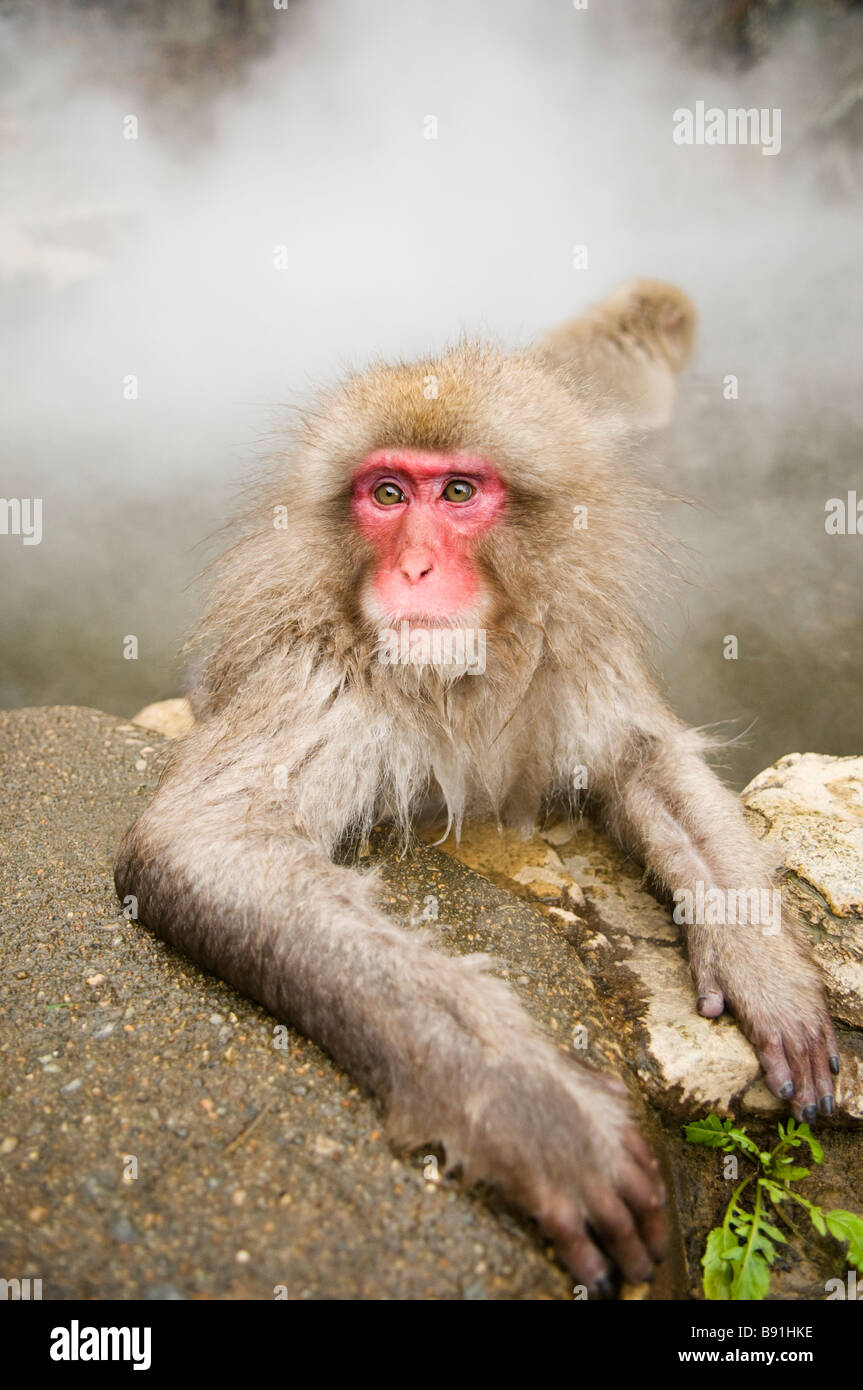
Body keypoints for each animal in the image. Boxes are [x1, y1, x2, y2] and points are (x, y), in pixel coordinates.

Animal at [114, 276, 833, 1295]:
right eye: (386, 494)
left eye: (458, 492)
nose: (415, 566)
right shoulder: (319, 667)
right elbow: (208, 840)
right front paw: (534, 1109)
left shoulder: (574, 643)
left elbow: (642, 757)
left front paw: (761, 964)